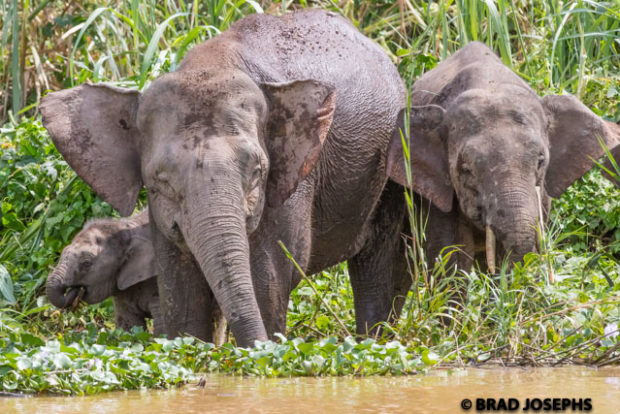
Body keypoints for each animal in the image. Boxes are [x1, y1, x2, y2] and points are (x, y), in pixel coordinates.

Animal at [38, 10, 406, 346]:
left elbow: (269, 278)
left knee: (381, 262)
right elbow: (182, 292)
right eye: (161, 181)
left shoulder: (293, 180)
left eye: (257, 172)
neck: (211, 63)